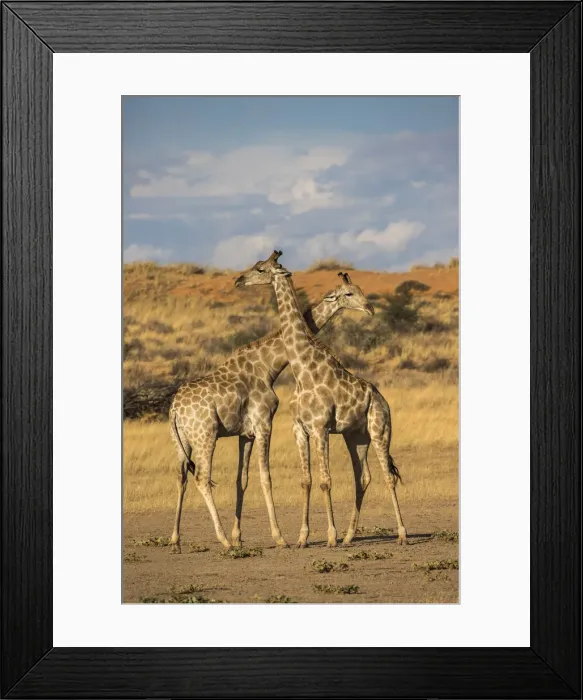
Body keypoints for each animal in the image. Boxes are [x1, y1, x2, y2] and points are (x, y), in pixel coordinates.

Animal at [168, 257, 374, 551]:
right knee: (202, 478)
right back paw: (222, 540)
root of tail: (174, 409)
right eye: (349, 293)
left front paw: (239, 536)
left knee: (181, 476)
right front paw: (279, 537)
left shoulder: (246, 433)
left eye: (259, 267)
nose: (239, 280)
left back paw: (176, 540)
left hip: (181, 440)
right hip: (205, 434)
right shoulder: (264, 423)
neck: (268, 365)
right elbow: (266, 478)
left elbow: (241, 480)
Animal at [236, 251, 407, 548]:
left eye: (260, 269)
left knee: (388, 476)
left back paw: (401, 534)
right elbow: (306, 480)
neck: (303, 369)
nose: (239, 280)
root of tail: (383, 400)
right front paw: (302, 538)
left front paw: (330, 536)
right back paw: (350, 536)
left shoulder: (320, 428)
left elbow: (326, 480)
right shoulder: (300, 429)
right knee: (363, 477)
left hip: (380, 430)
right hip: (356, 436)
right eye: (350, 293)